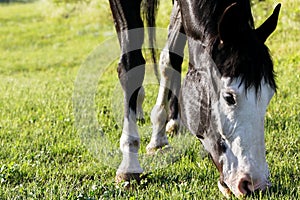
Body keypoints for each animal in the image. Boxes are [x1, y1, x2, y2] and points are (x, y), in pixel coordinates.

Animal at [108, 0, 282, 197]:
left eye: (269, 96)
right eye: (229, 97)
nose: (255, 184)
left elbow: (171, 59)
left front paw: (158, 138)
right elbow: (132, 66)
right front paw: (129, 167)